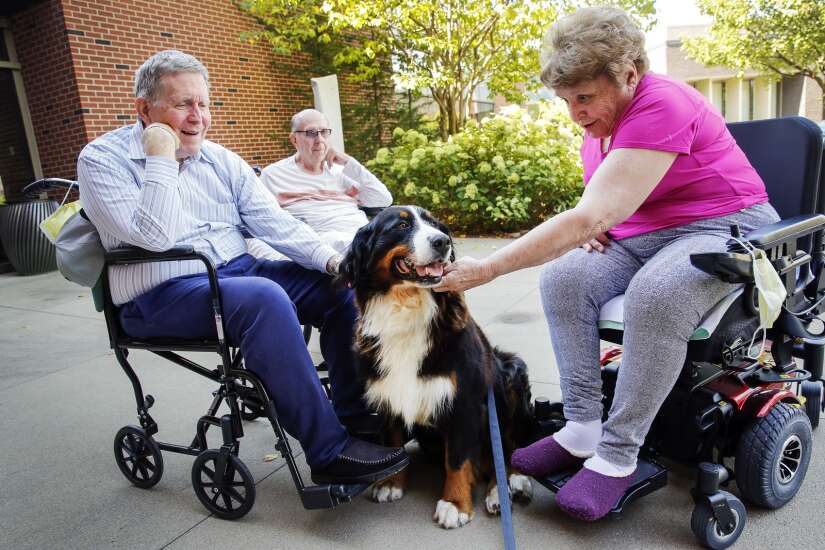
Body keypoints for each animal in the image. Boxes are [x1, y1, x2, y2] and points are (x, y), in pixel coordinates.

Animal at [336, 206, 536, 532]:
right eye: (402, 225)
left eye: (436, 225)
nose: (443, 242)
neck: (407, 311)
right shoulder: (386, 393)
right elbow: (394, 441)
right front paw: (391, 483)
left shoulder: (463, 400)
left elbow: (457, 458)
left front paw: (454, 504)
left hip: (510, 375)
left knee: (507, 449)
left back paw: (506, 488)